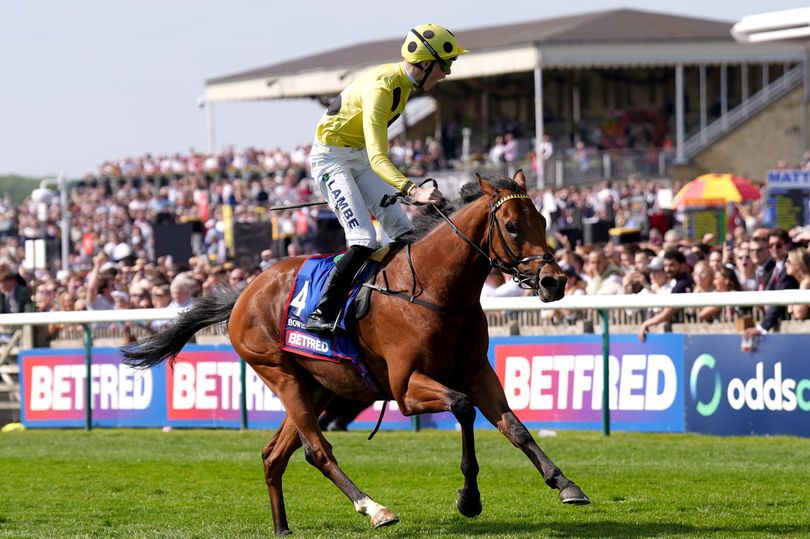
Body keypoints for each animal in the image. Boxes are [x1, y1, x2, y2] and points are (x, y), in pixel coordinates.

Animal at [122, 170, 590, 536]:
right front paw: (468, 498)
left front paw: (565, 484)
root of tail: (245, 292)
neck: (435, 291)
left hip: (321, 387)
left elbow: (515, 427)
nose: (554, 282)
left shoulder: (477, 371)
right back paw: (374, 508)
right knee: (316, 450)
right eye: (511, 226)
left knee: (274, 455)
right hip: (280, 374)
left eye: (543, 219)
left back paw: (283, 527)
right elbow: (461, 407)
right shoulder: (406, 388)